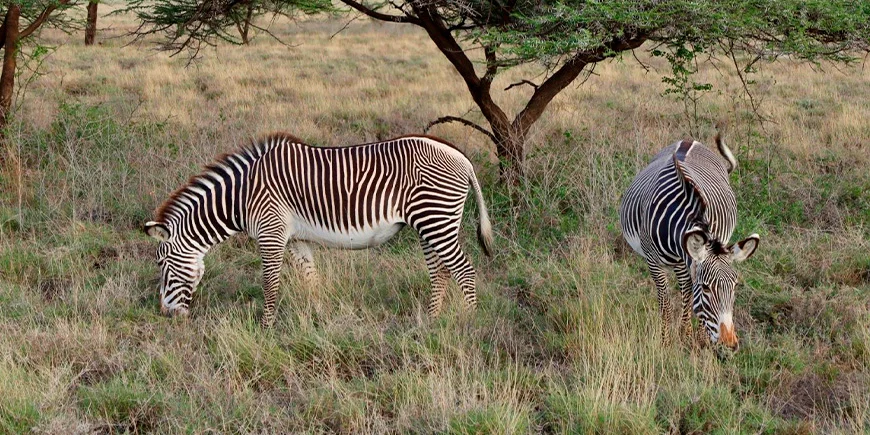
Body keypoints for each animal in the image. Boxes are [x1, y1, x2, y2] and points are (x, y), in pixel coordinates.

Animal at [144, 132, 494, 327]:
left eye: (161, 263)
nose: (165, 315)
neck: (241, 197)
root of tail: (460, 155)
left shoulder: (271, 233)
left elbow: (269, 284)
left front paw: (265, 328)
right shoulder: (296, 239)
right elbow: (311, 280)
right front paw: (316, 320)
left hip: (435, 218)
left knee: (464, 270)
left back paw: (470, 323)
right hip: (428, 223)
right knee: (440, 272)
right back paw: (431, 321)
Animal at [619, 128, 759, 350]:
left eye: (735, 285)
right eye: (706, 288)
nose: (730, 344)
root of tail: (689, 140)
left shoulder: (691, 261)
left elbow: (689, 298)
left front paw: (694, 337)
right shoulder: (653, 262)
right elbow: (666, 303)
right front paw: (666, 342)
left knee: (685, 289)